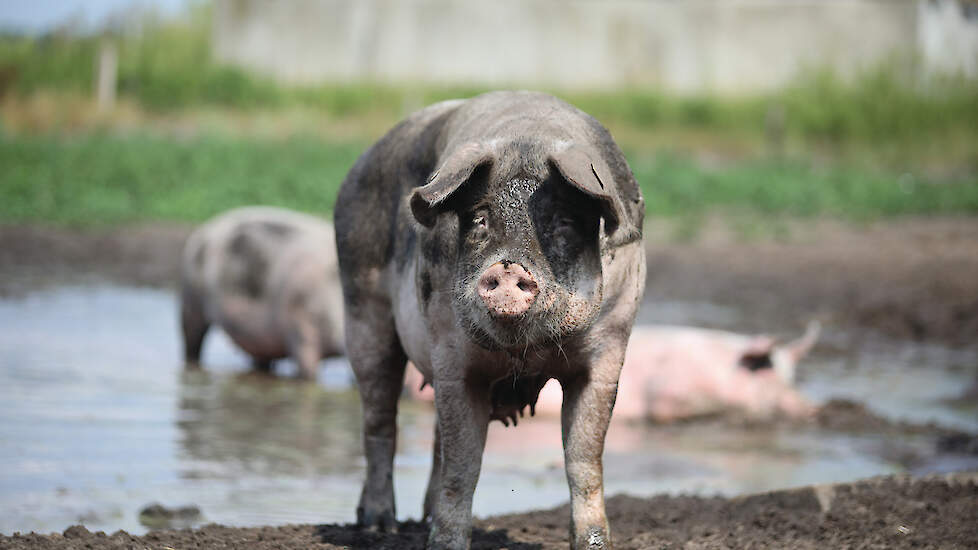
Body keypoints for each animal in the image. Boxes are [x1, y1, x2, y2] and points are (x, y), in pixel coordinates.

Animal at [336, 92, 648, 548]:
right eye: (480, 218)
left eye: (563, 221)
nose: (506, 267)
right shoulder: (452, 352)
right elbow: (464, 466)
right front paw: (445, 545)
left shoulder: (608, 349)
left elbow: (584, 459)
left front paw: (595, 544)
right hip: (362, 310)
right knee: (380, 421)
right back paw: (379, 525)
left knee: (432, 436)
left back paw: (417, 519)